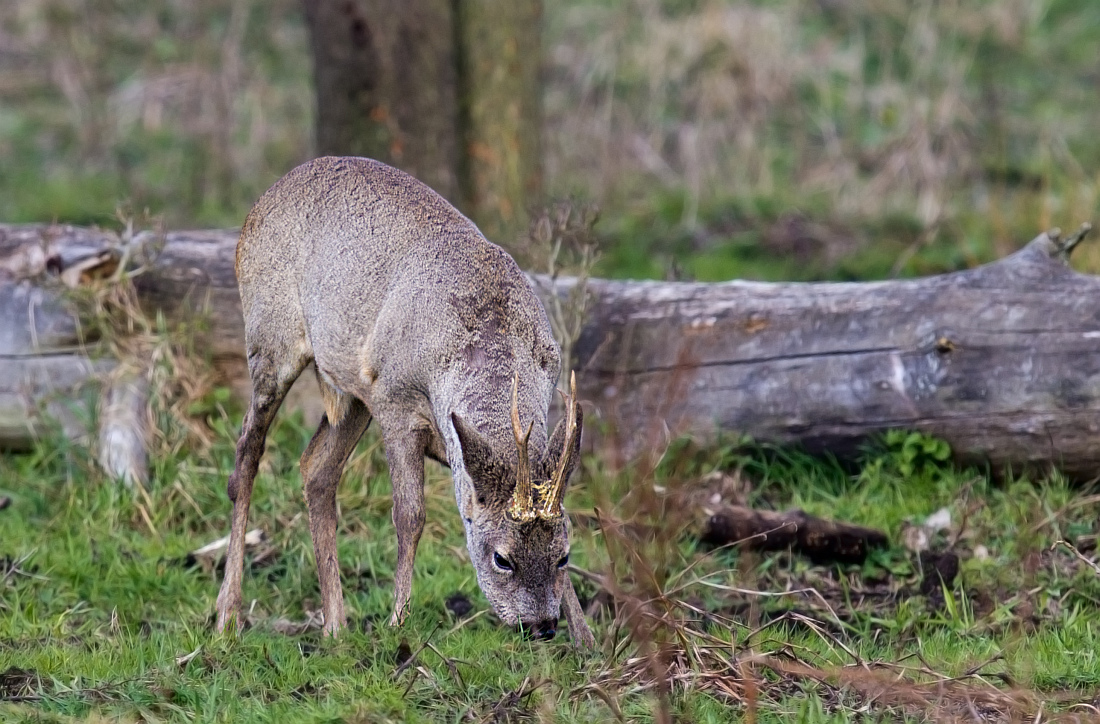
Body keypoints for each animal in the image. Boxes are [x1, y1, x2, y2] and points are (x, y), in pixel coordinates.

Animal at [214, 155, 594, 646]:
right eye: (501, 558)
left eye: (563, 555)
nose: (543, 625)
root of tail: (261, 203)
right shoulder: (395, 401)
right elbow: (410, 516)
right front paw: (398, 621)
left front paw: (587, 640)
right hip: (270, 340)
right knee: (247, 455)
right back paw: (227, 615)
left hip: (353, 392)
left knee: (317, 469)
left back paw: (335, 627)